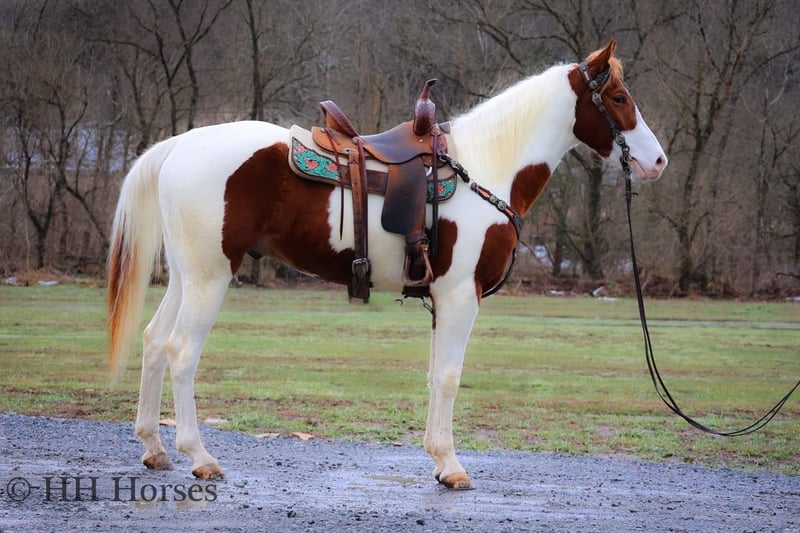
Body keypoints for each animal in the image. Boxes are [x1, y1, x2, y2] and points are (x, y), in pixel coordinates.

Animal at [107, 40, 667, 490]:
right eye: (619, 98)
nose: (657, 161)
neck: (484, 168)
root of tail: (181, 144)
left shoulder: (442, 300)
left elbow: (435, 374)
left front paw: (439, 460)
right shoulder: (460, 298)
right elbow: (449, 376)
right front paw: (452, 467)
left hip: (187, 277)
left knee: (155, 341)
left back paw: (154, 448)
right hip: (210, 277)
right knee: (181, 351)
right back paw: (199, 456)